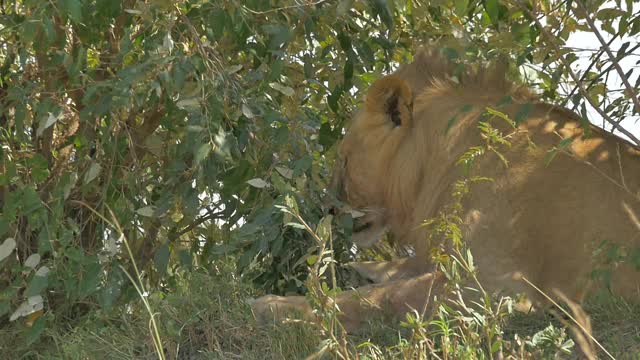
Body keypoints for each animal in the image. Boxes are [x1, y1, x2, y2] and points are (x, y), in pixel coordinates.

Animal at [251, 47, 640, 332]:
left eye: (344, 161)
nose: (327, 211)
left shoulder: (495, 289)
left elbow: (379, 298)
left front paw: (275, 306)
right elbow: (400, 271)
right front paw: (364, 268)